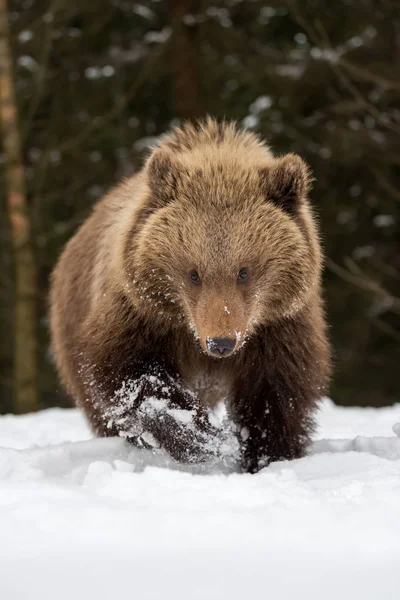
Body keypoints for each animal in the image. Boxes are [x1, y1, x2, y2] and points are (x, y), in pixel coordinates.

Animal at [50, 118, 332, 474]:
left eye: (244, 271)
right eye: (193, 273)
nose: (221, 342)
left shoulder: (278, 327)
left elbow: (276, 394)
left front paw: (268, 456)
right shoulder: (141, 315)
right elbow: (132, 376)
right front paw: (201, 438)